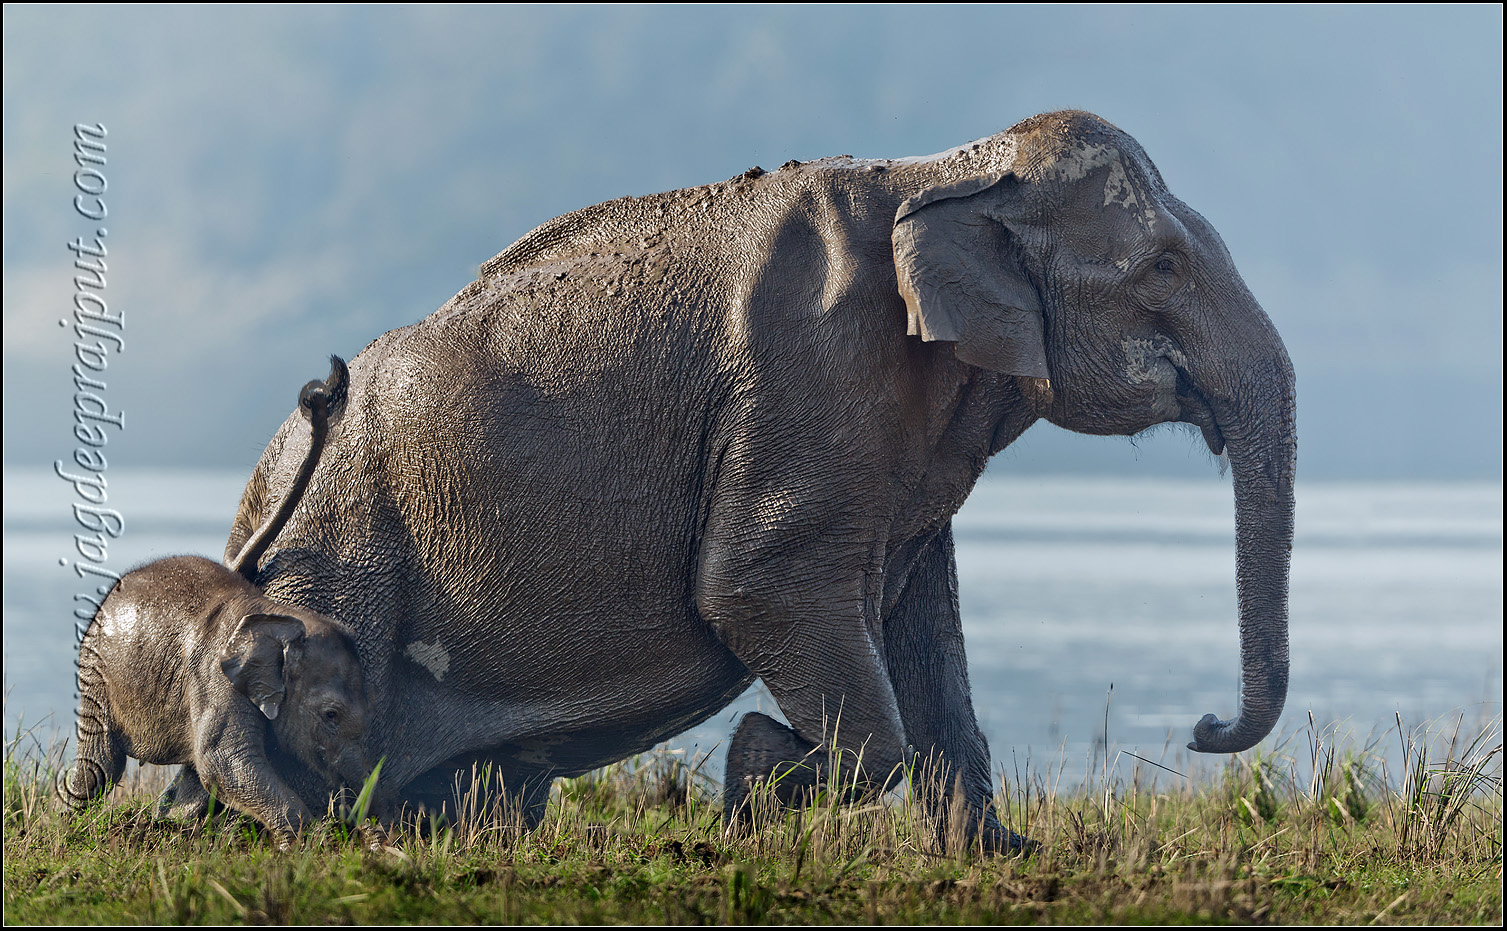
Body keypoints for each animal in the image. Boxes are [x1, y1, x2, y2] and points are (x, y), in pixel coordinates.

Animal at [61, 358, 372, 847]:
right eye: (331, 715)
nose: (324, 388)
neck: (281, 619)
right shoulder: (215, 679)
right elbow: (223, 763)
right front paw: (307, 844)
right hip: (94, 670)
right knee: (100, 766)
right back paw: (72, 828)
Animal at [211, 109, 1294, 852]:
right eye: (1161, 266)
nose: (1203, 727)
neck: (950, 168)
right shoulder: (809, 380)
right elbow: (754, 586)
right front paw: (752, 783)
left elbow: (926, 619)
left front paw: (1001, 853)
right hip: (342, 554)